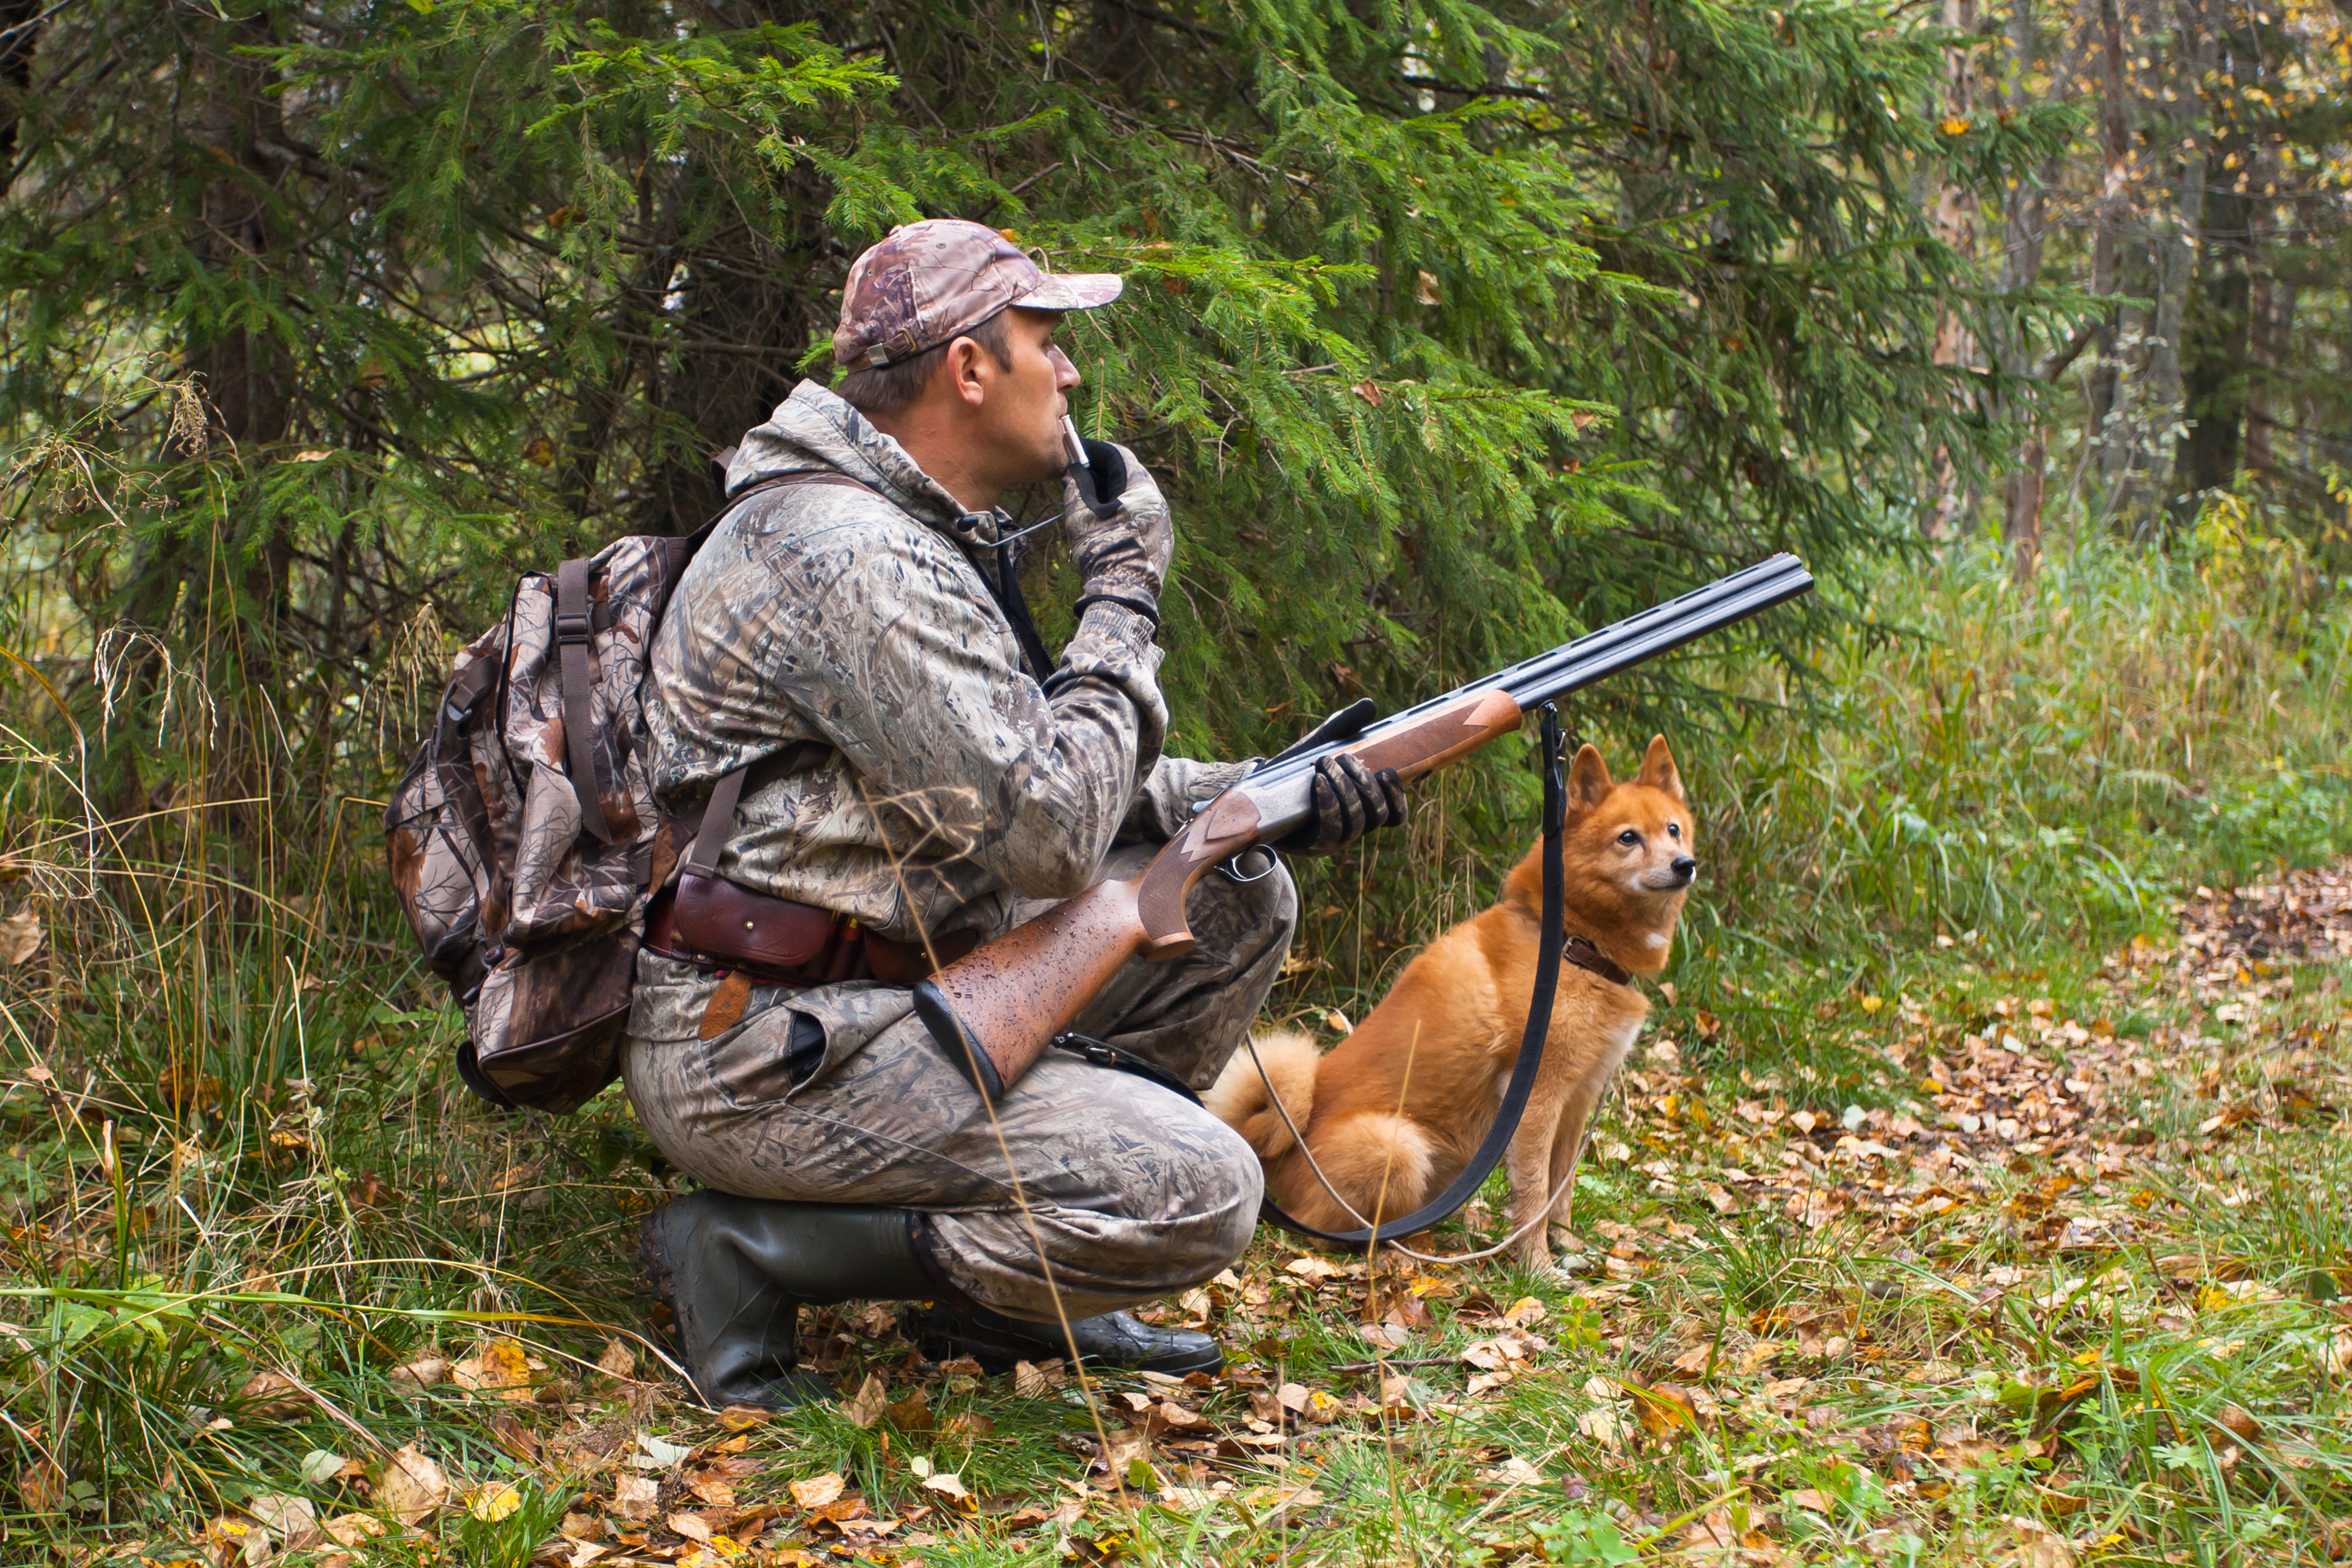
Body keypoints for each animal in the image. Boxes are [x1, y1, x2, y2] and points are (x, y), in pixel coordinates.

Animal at [1214, 738, 1693, 1279]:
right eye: (1628, 838)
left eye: (1673, 829)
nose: (1685, 865)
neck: (1573, 942)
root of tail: (1277, 1153)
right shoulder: (1537, 1099)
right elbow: (1534, 1194)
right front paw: (1537, 1267)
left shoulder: (1578, 1099)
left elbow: (1561, 1189)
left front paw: (1569, 1246)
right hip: (1400, 1146)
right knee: (1324, 1229)